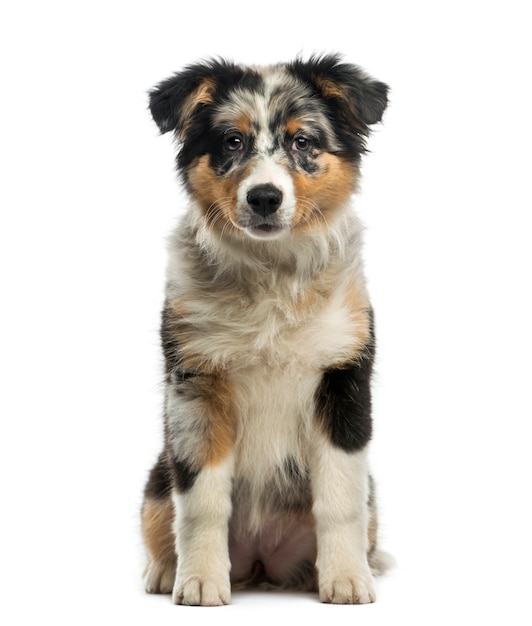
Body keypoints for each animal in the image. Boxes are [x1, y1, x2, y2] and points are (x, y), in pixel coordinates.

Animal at [141, 54, 390, 604]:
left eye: (303, 141)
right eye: (232, 141)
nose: (264, 198)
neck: (272, 272)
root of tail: (260, 561)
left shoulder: (343, 377)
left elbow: (340, 496)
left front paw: (346, 579)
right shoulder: (196, 381)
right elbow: (202, 499)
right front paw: (199, 581)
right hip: (156, 477)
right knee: (162, 513)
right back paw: (165, 570)